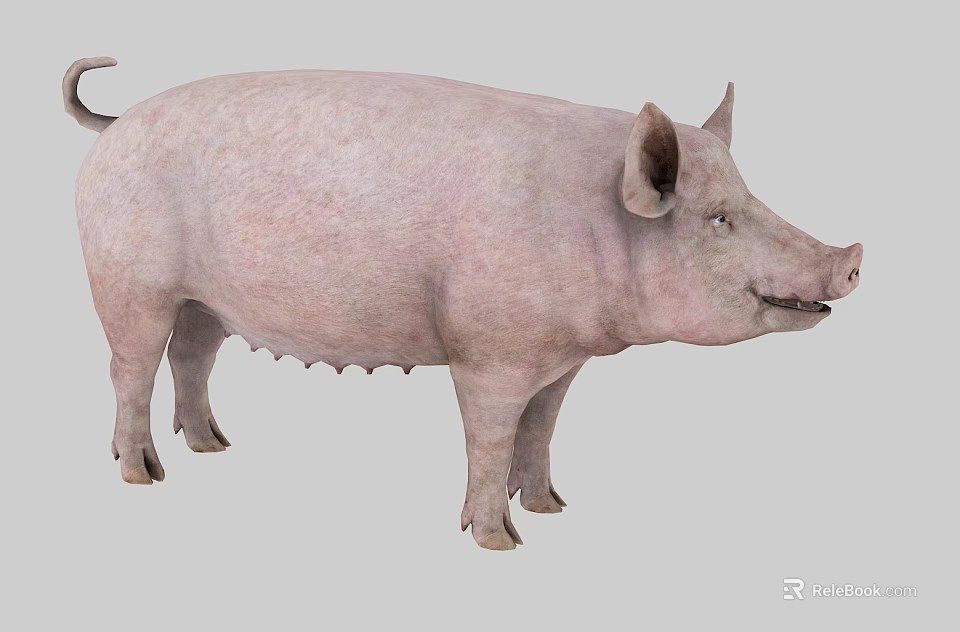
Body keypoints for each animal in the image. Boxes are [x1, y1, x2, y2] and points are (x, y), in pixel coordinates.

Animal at [64, 57, 862, 550]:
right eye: (718, 219)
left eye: (752, 200)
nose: (852, 259)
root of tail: (112, 124)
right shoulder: (488, 352)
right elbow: (490, 436)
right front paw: (500, 541)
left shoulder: (562, 360)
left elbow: (540, 429)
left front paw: (552, 508)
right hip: (127, 283)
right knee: (131, 367)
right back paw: (143, 474)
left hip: (204, 303)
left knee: (192, 356)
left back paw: (215, 447)